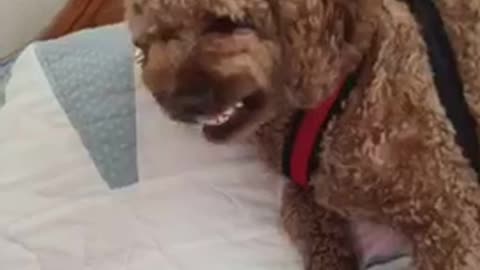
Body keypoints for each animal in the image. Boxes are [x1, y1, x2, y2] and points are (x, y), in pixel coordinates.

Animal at [125, 0, 480, 268]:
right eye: (150, 37)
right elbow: (319, 237)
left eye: (226, 23)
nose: (181, 102)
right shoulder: (307, 196)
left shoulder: (450, 208)